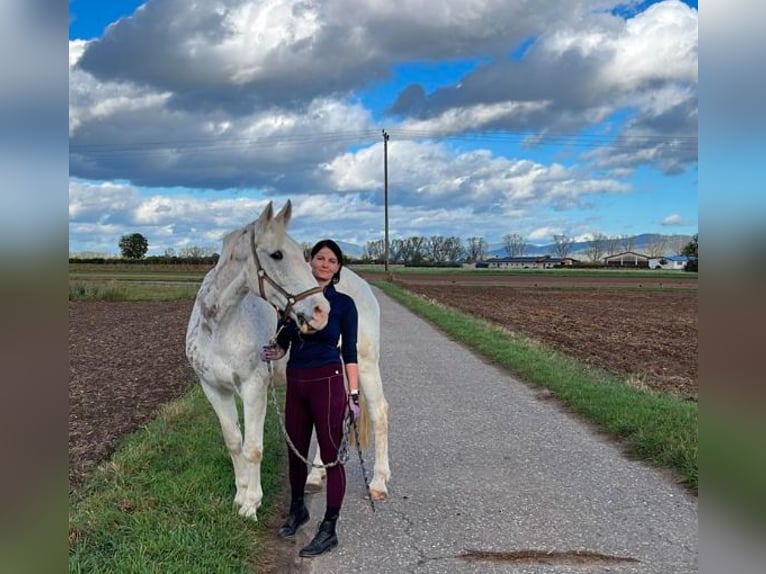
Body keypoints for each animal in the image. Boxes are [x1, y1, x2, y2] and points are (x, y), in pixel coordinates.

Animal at [184, 200, 390, 524]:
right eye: (277, 254)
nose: (321, 311)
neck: (219, 326)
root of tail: (364, 287)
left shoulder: (254, 388)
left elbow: (252, 448)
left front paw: (250, 505)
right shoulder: (213, 388)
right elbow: (234, 442)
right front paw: (239, 494)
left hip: (366, 365)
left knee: (380, 412)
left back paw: (379, 483)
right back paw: (316, 476)